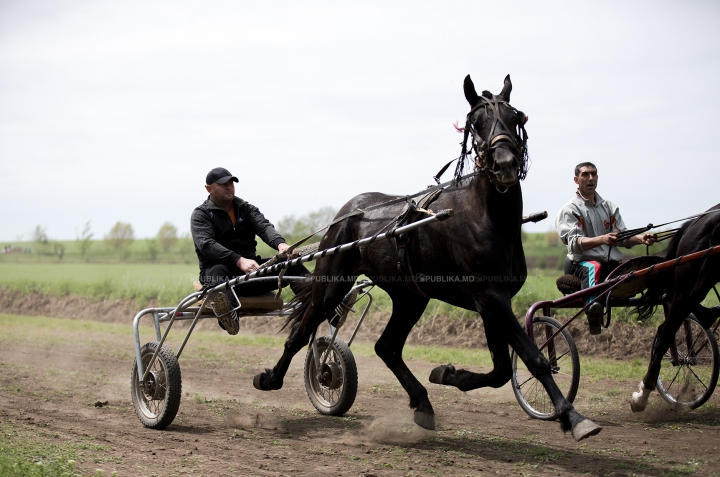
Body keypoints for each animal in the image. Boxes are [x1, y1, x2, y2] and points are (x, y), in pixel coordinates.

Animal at [253, 72, 600, 440]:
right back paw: (271, 378)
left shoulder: (492, 300)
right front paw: (572, 416)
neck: (488, 218)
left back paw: (422, 402)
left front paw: (448, 374)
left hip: (410, 296)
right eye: (476, 124)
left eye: (516, 117)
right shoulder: (490, 297)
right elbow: (532, 358)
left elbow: (501, 370)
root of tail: (349, 211)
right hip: (333, 282)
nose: (506, 163)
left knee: (387, 347)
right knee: (303, 330)